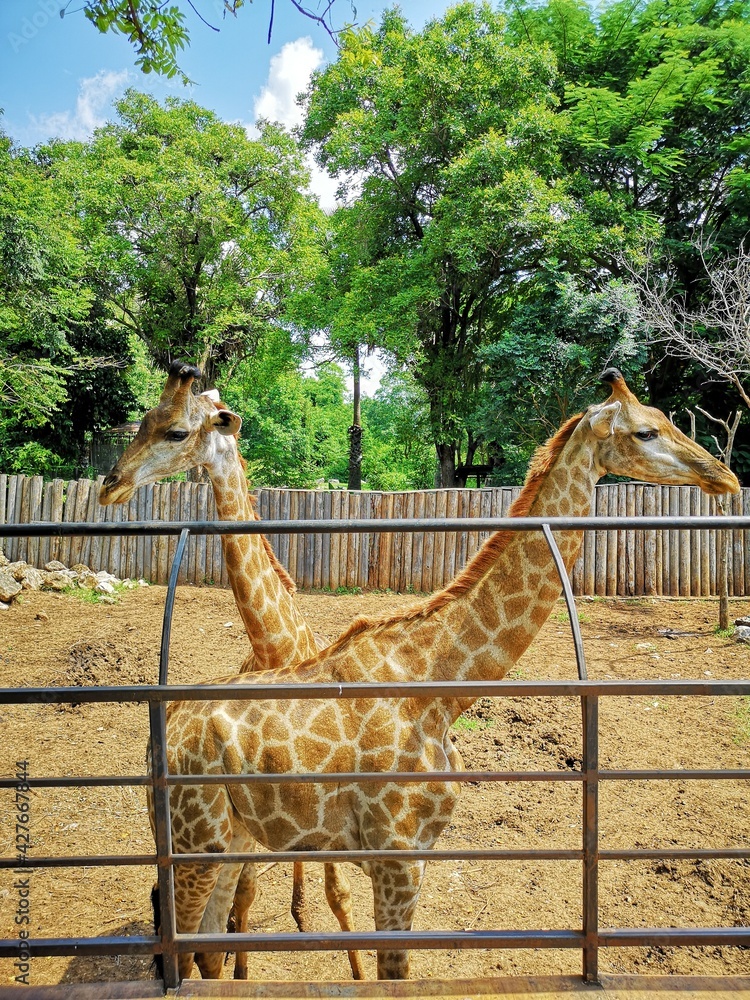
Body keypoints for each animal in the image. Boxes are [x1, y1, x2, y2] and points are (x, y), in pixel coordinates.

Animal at [98, 360, 363, 980]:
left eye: (176, 431)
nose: (110, 484)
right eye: (141, 419)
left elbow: (338, 895)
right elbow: (238, 903)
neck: (276, 648)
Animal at [153, 368, 740, 981]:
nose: (722, 475)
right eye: (646, 431)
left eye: (667, 420)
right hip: (193, 846)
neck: (439, 685)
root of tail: (163, 733)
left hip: (228, 840)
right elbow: (393, 973)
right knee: (182, 944)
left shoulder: (417, 854)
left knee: (206, 946)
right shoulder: (395, 855)